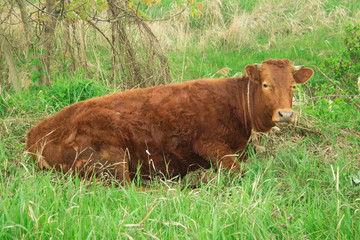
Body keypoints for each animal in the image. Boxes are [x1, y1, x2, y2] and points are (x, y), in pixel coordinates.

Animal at [26, 59, 312, 185]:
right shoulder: (209, 143)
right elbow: (238, 170)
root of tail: (36, 133)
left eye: (293, 85)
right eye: (266, 84)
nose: (285, 114)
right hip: (110, 156)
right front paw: (205, 174)